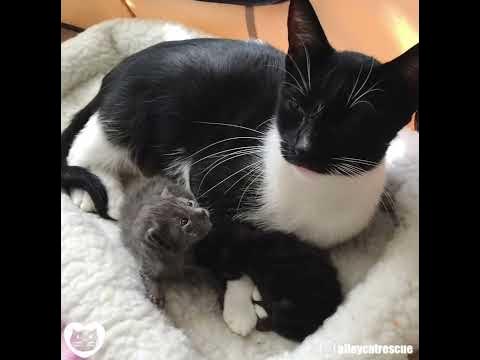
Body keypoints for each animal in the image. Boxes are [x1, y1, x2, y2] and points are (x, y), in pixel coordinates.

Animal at [119, 176, 211, 308]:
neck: (171, 252)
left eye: (190, 203)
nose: (202, 212)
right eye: (184, 221)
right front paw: (155, 293)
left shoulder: (190, 260)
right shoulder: (147, 258)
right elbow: (148, 275)